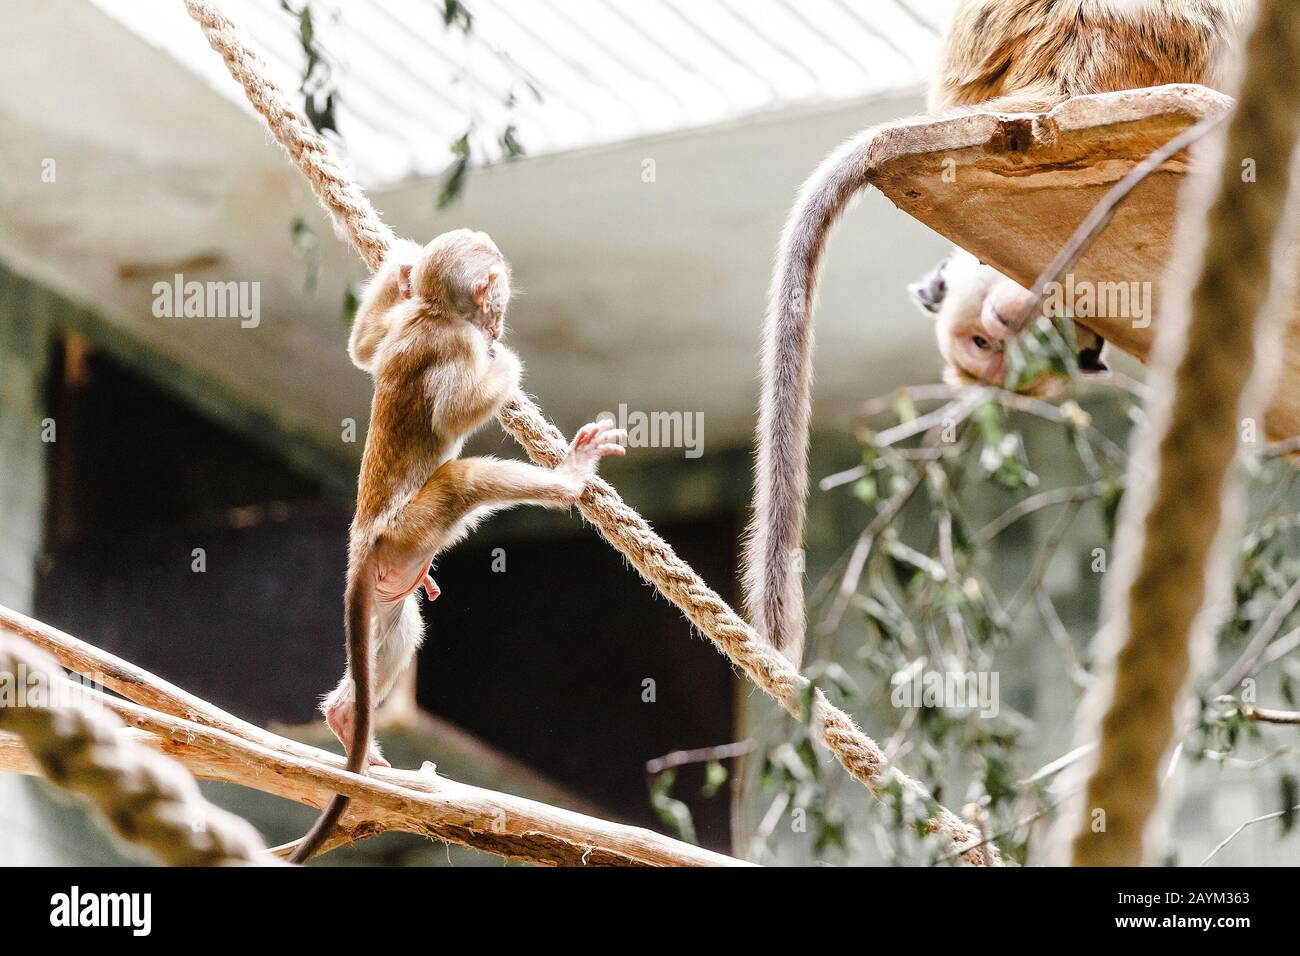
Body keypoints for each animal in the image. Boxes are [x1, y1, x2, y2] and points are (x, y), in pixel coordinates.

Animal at [290, 229, 626, 862]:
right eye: (496, 300)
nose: (500, 318)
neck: (434, 312)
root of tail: (363, 538)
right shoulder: (455, 343)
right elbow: (452, 412)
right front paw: (506, 362)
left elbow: (364, 351)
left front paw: (402, 266)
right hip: (409, 527)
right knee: (462, 479)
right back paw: (569, 480)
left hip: (392, 565)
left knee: (401, 629)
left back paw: (346, 716)